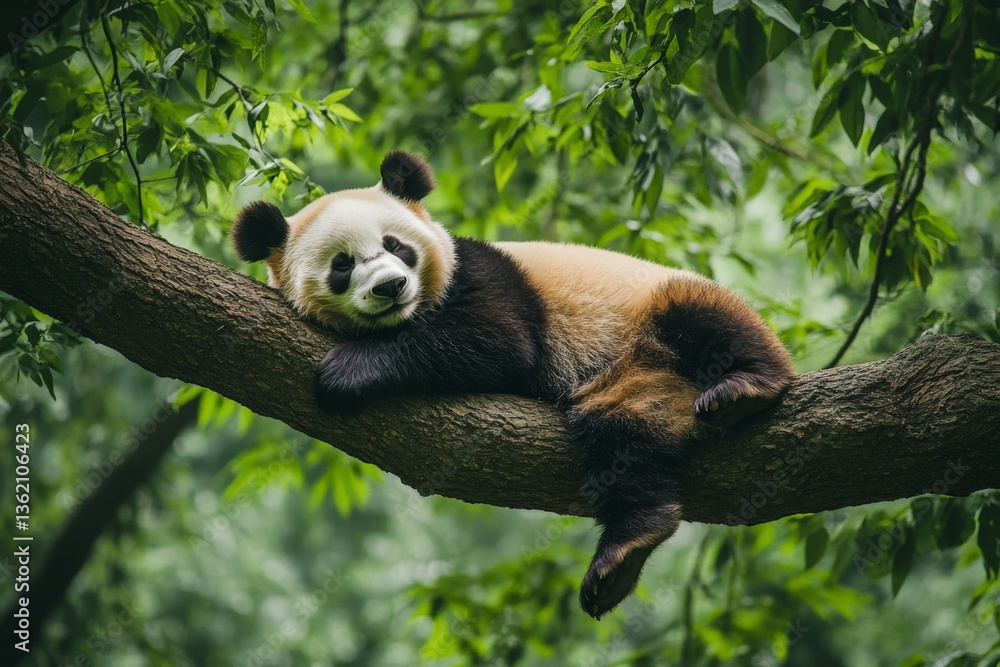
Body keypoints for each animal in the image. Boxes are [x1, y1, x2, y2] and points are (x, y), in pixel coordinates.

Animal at [231, 151, 794, 619]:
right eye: (342, 265)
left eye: (397, 246)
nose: (391, 287)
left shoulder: (486, 274)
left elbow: (498, 341)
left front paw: (345, 372)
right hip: (630, 382)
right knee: (620, 437)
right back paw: (627, 549)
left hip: (646, 313)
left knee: (703, 317)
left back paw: (745, 389)